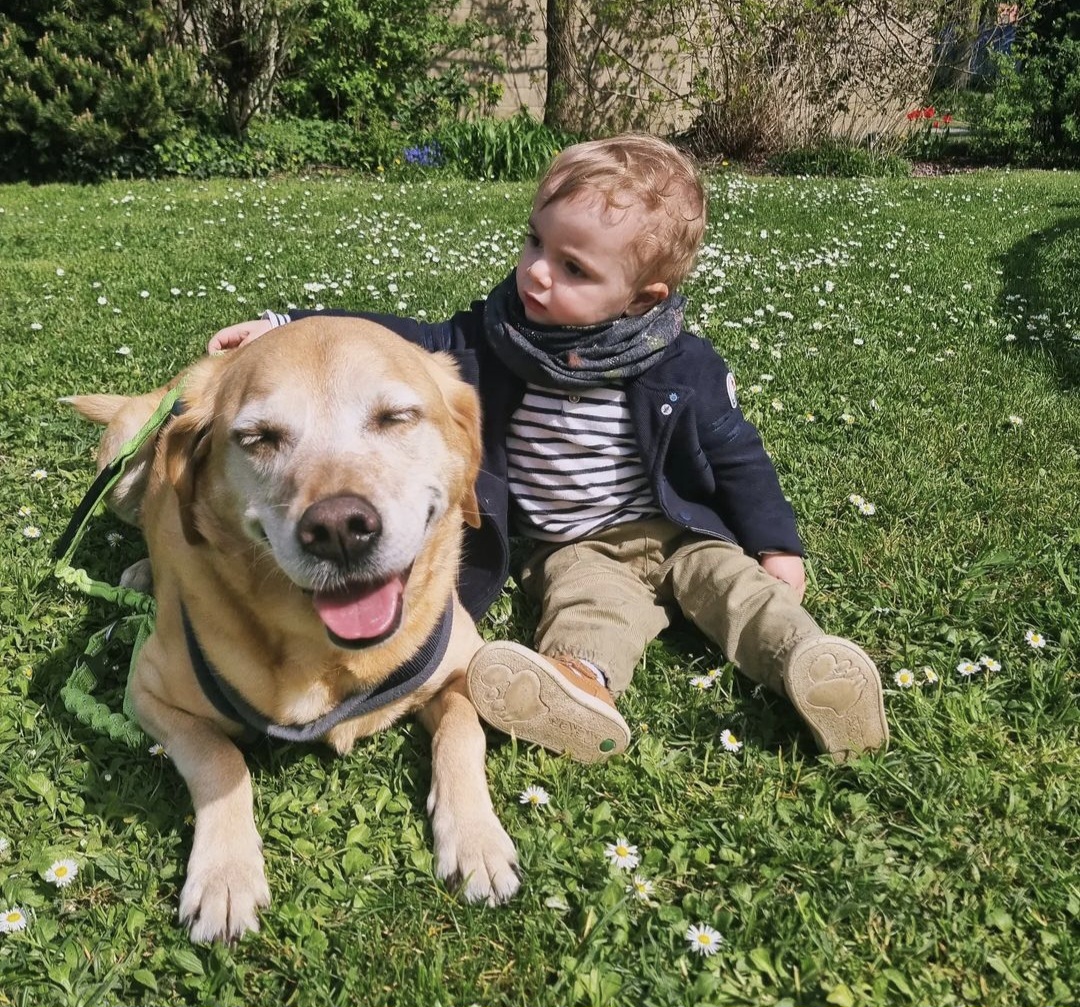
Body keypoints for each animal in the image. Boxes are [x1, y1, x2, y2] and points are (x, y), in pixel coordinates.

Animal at [66, 319, 518, 942]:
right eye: (258, 437)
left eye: (396, 417)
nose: (339, 529)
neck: (328, 656)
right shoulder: (148, 691)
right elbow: (220, 760)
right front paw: (225, 877)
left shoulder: (459, 671)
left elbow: (462, 733)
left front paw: (476, 841)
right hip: (120, 468)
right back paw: (140, 573)